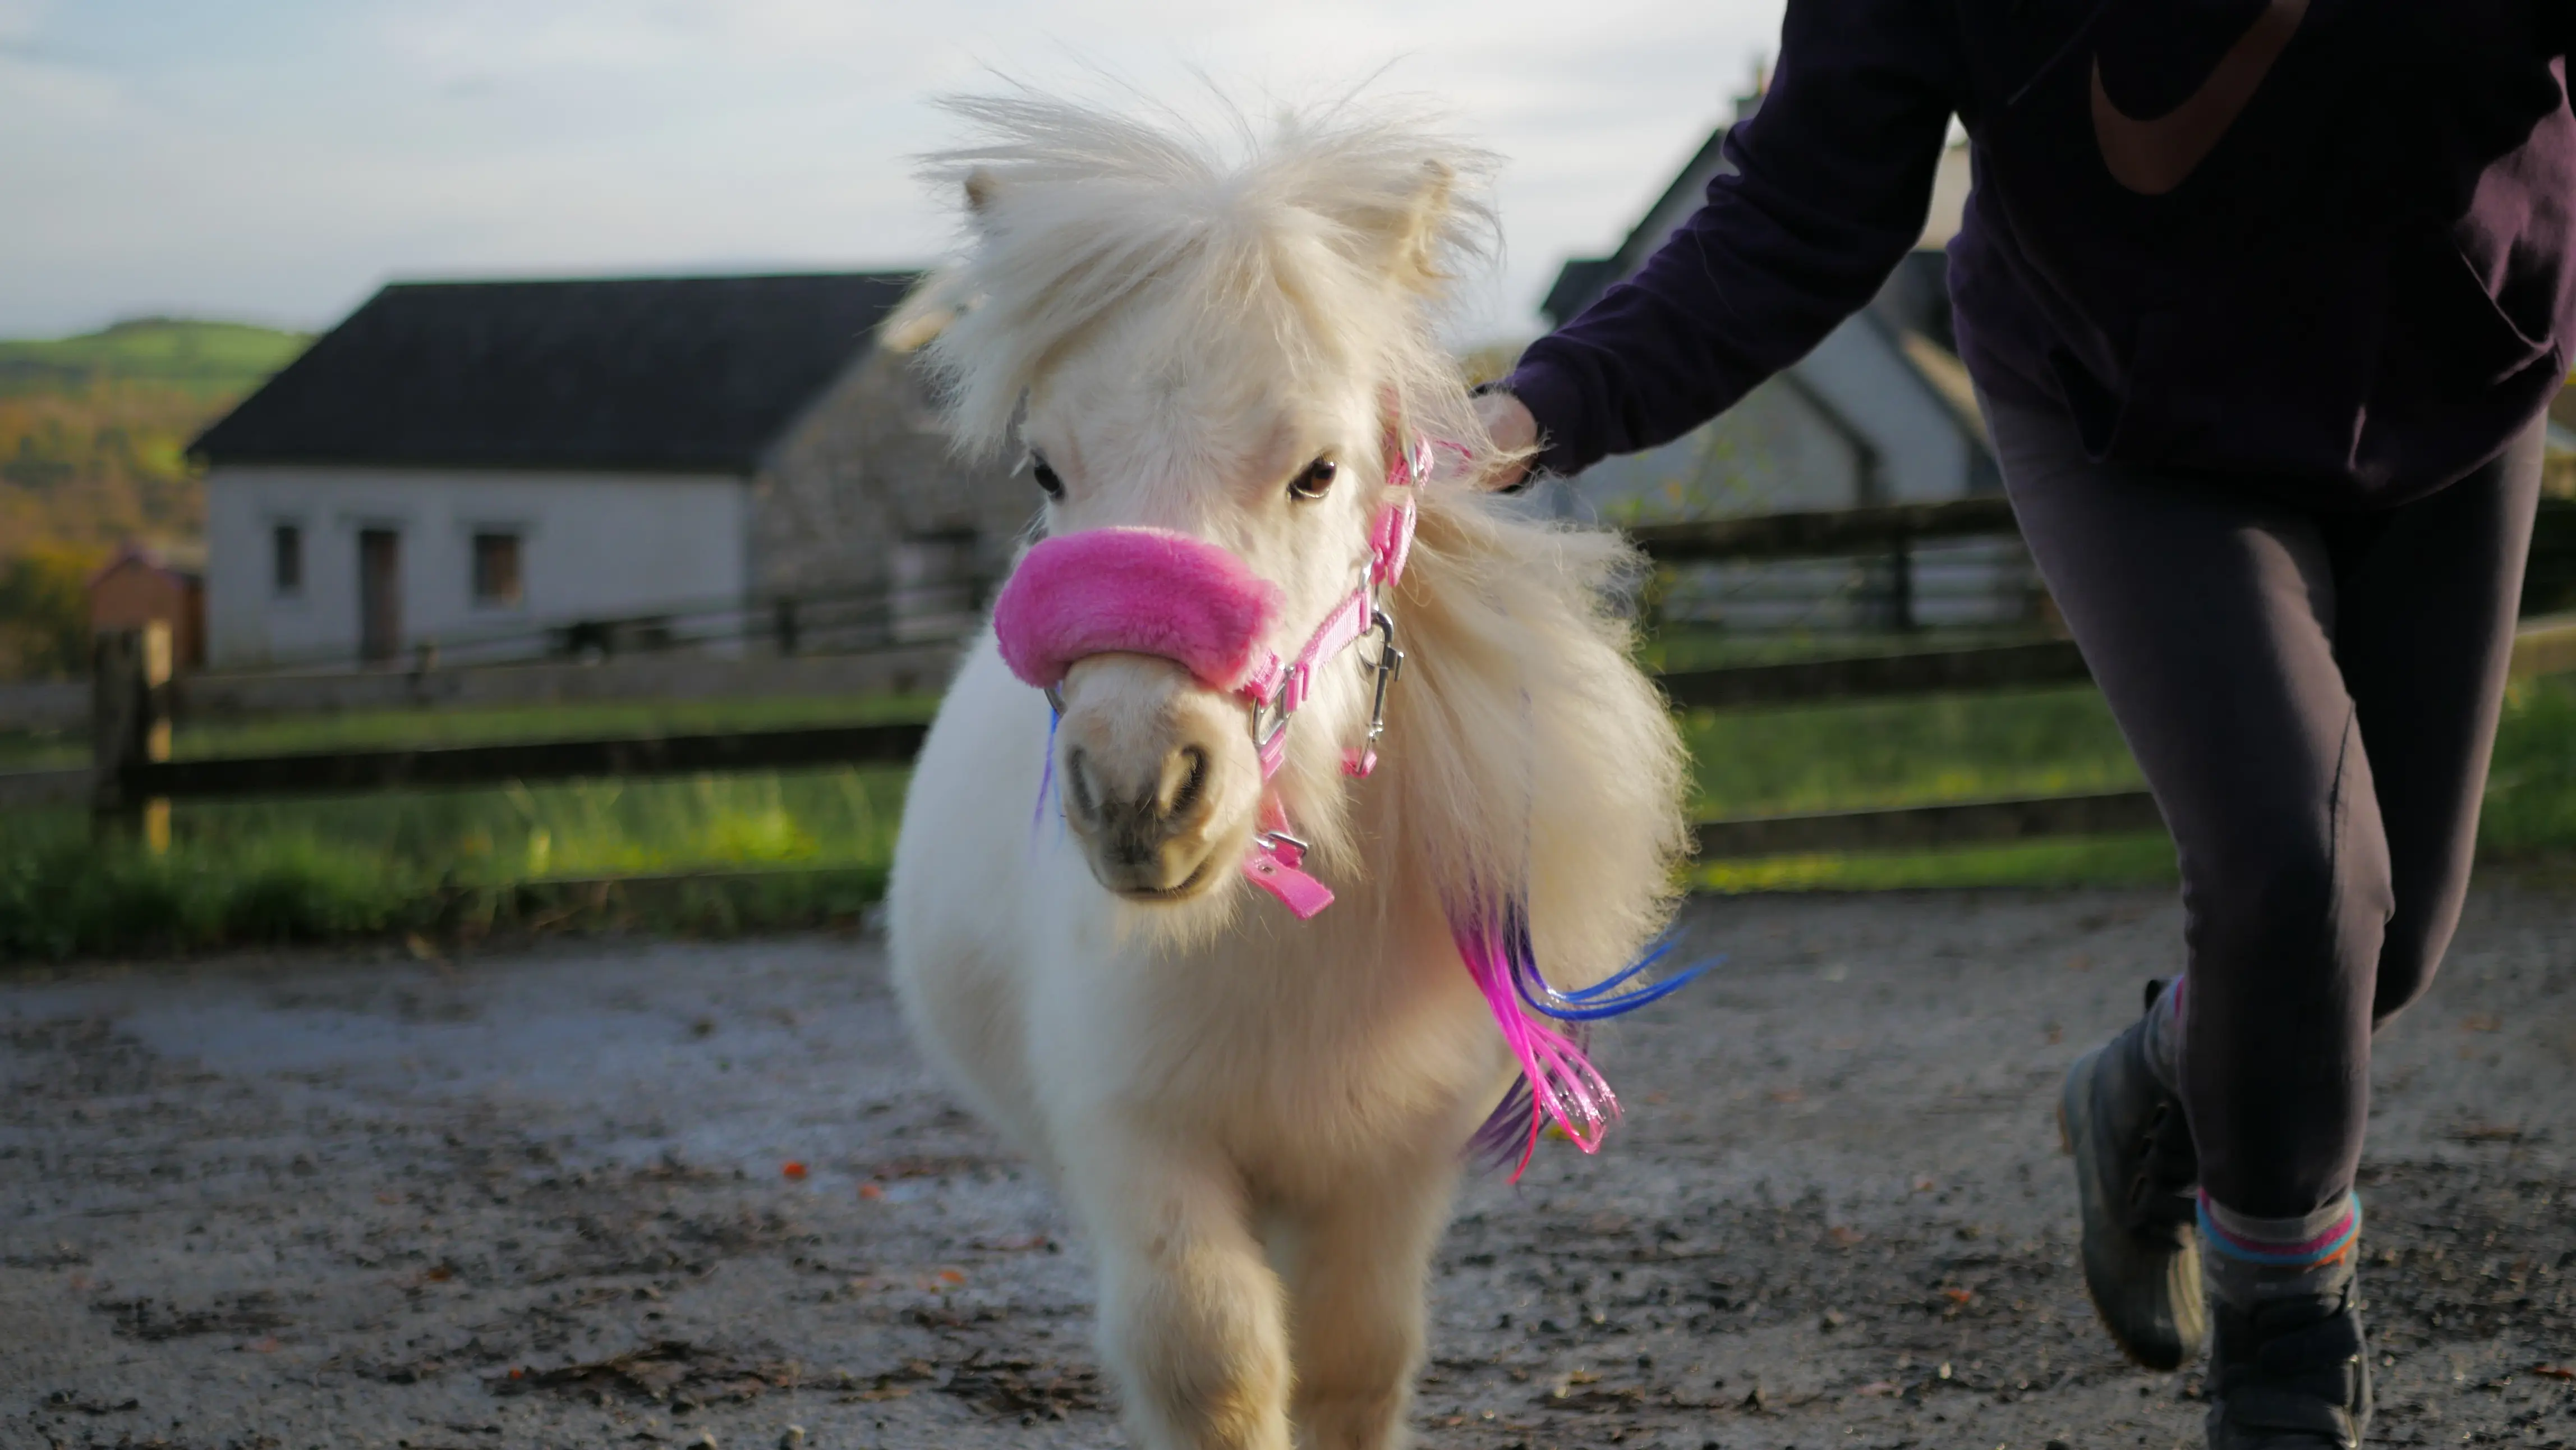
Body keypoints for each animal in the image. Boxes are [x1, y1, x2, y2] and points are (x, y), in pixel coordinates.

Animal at [885, 90, 1690, 1450]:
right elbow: (1212, 1360)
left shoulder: (1386, 1173)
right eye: (1047, 469)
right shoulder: (1135, 1135)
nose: (1139, 793)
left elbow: (1353, 1363)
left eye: (1317, 470)